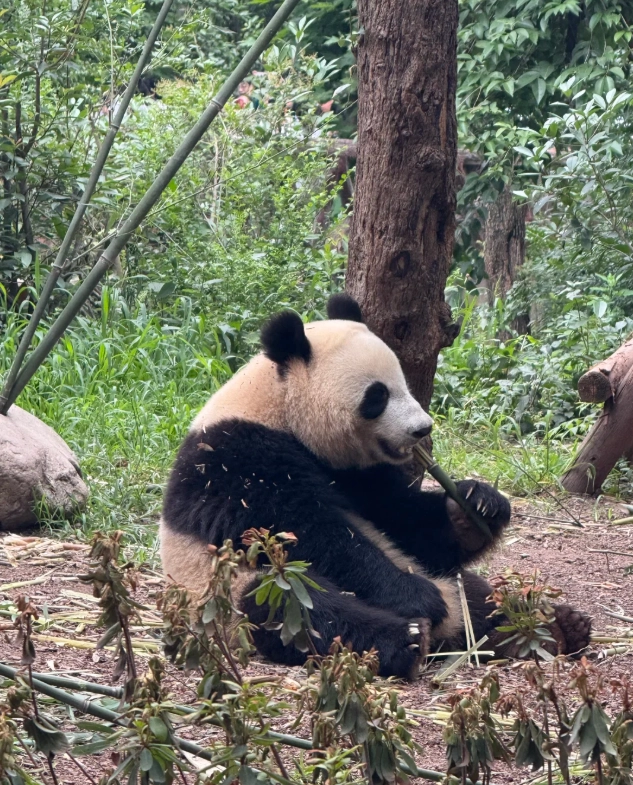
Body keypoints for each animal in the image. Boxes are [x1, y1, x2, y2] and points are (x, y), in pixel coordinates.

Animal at [160, 294, 591, 679]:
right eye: (378, 395)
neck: (278, 405)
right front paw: (415, 595)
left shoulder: (359, 474)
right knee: (301, 608)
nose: (422, 429)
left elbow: (402, 518)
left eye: (403, 382)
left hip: (447, 580)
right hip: (228, 594)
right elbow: (305, 532)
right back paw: (410, 637)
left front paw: (477, 506)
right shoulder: (238, 459)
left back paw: (548, 626)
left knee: (473, 593)